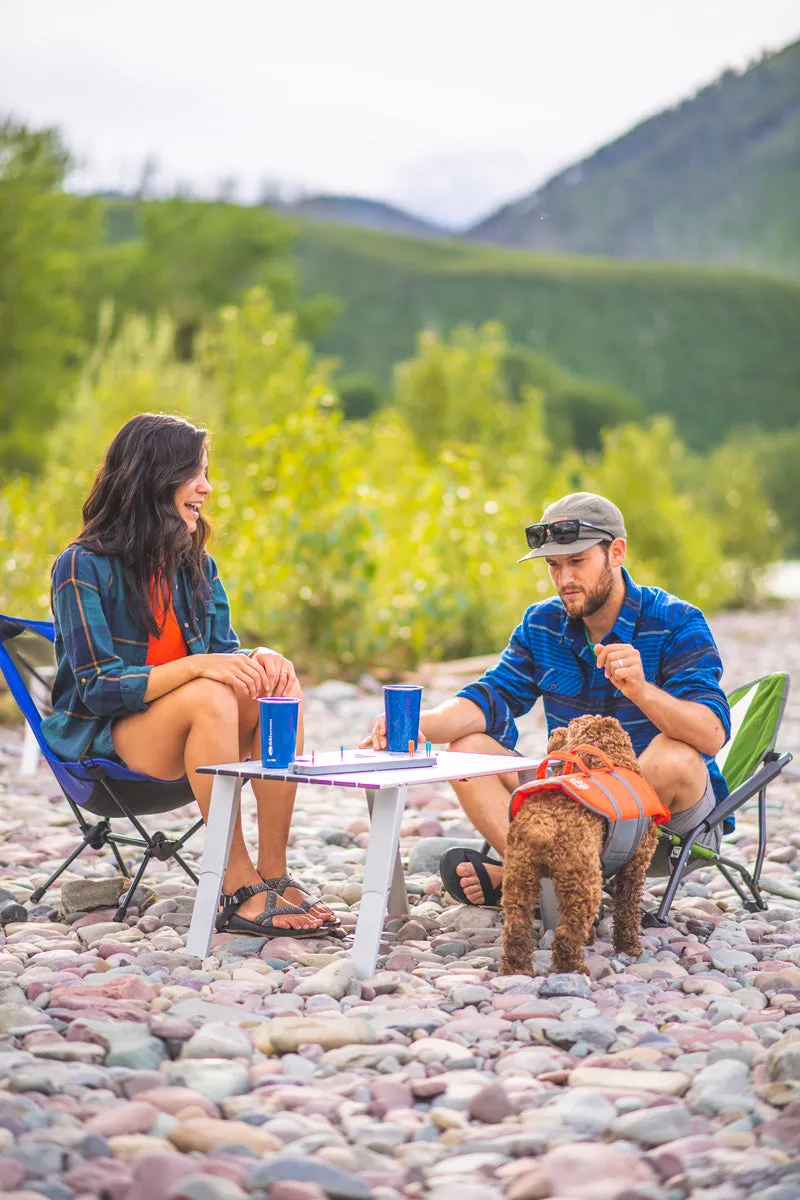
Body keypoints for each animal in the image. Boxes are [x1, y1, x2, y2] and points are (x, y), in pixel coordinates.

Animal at [503, 710, 662, 974]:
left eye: (568, 728)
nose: (555, 731)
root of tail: (542, 824)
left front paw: (591, 939)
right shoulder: (635, 866)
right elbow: (627, 911)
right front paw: (630, 947)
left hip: (520, 877)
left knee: (516, 927)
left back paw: (517, 970)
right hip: (584, 883)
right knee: (567, 934)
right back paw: (574, 969)